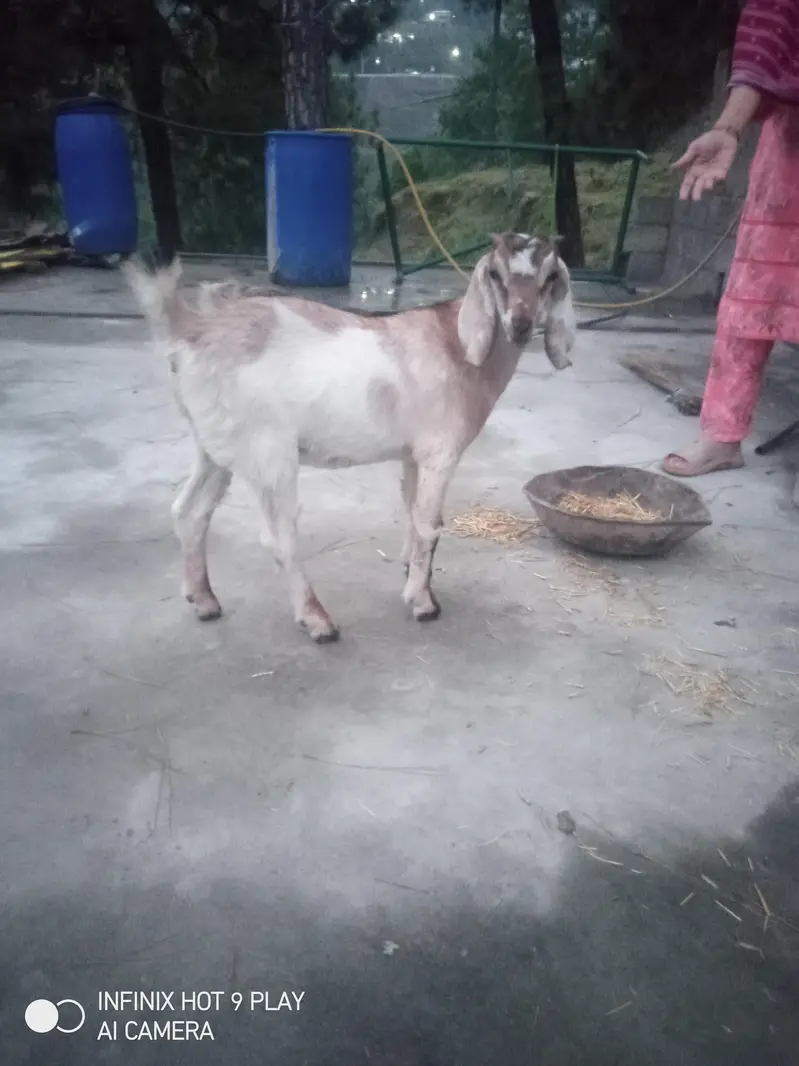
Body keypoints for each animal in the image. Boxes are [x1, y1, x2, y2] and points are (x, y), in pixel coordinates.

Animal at [125, 232, 576, 643]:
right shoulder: (440, 452)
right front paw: (423, 602)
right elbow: (430, 525)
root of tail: (191, 329)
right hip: (268, 449)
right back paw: (317, 621)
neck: (460, 346)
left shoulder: (412, 453)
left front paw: (412, 573)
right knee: (279, 538)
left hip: (214, 444)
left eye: (551, 276)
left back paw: (203, 600)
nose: (520, 325)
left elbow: (412, 513)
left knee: (190, 511)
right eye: (496, 274)